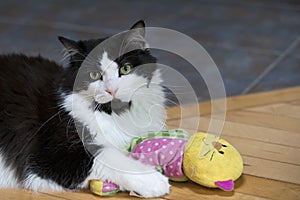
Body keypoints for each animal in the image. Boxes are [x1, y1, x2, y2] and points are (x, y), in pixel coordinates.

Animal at [0, 20, 170, 198]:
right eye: (94, 75)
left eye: (125, 69)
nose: (112, 90)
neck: (116, 115)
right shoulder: (56, 155)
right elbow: (109, 155)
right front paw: (154, 181)